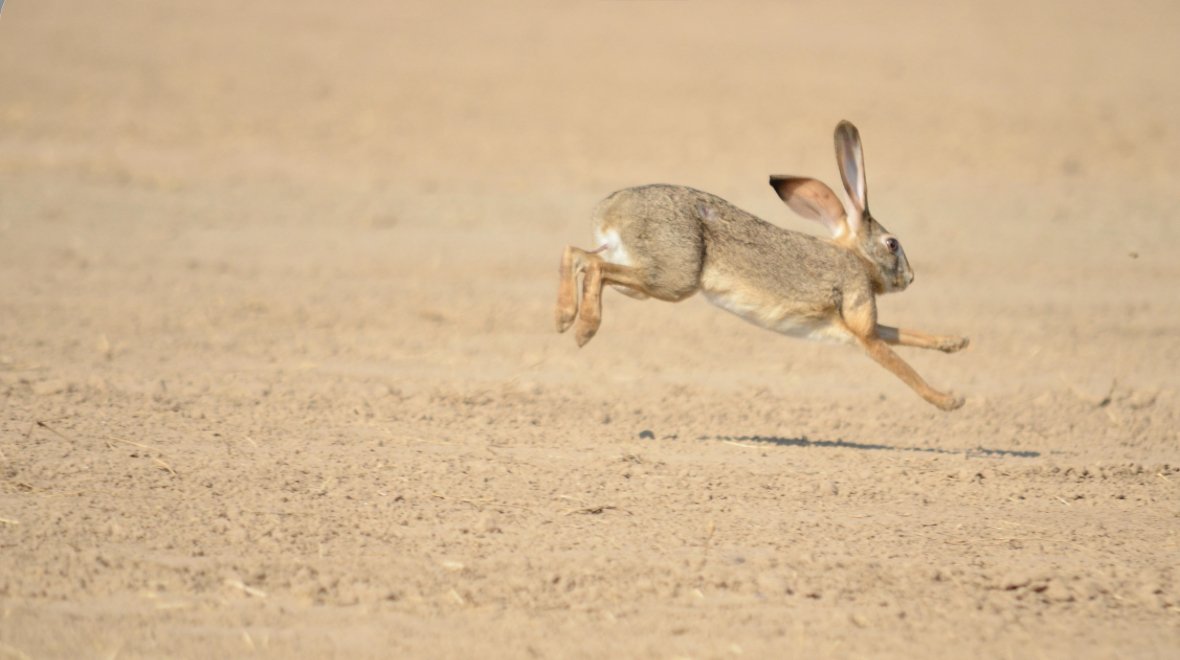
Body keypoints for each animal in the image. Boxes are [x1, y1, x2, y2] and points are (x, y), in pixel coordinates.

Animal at [555, 120, 969, 411]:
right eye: (892, 244)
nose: (911, 278)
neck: (855, 258)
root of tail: (610, 210)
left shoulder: (860, 326)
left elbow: (904, 333)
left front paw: (956, 343)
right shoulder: (861, 328)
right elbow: (901, 365)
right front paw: (950, 400)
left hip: (639, 274)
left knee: (578, 256)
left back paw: (564, 319)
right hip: (673, 279)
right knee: (594, 267)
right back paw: (584, 329)